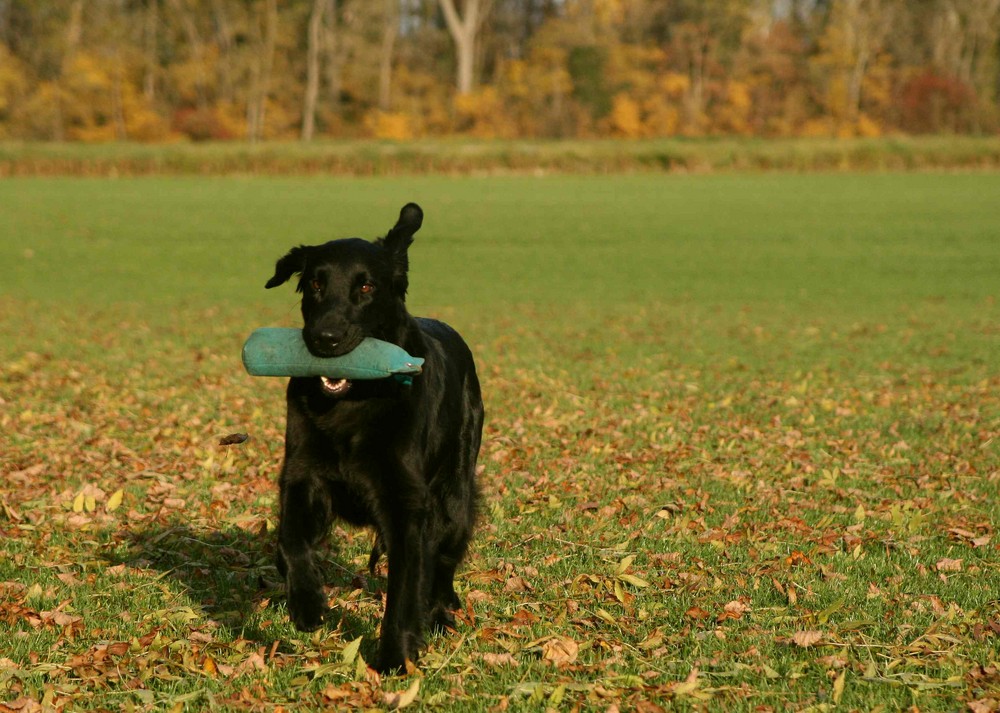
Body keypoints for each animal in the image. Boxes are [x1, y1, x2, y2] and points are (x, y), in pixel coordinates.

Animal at [266, 203, 484, 672]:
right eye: (315, 283)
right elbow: (289, 542)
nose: (325, 339)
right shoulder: (302, 476)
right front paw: (307, 603)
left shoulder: (408, 505)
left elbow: (404, 590)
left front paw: (395, 660)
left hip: (455, 494)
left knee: (442, 561)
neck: (353, 402)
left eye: (366, 286)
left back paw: (442, 612)